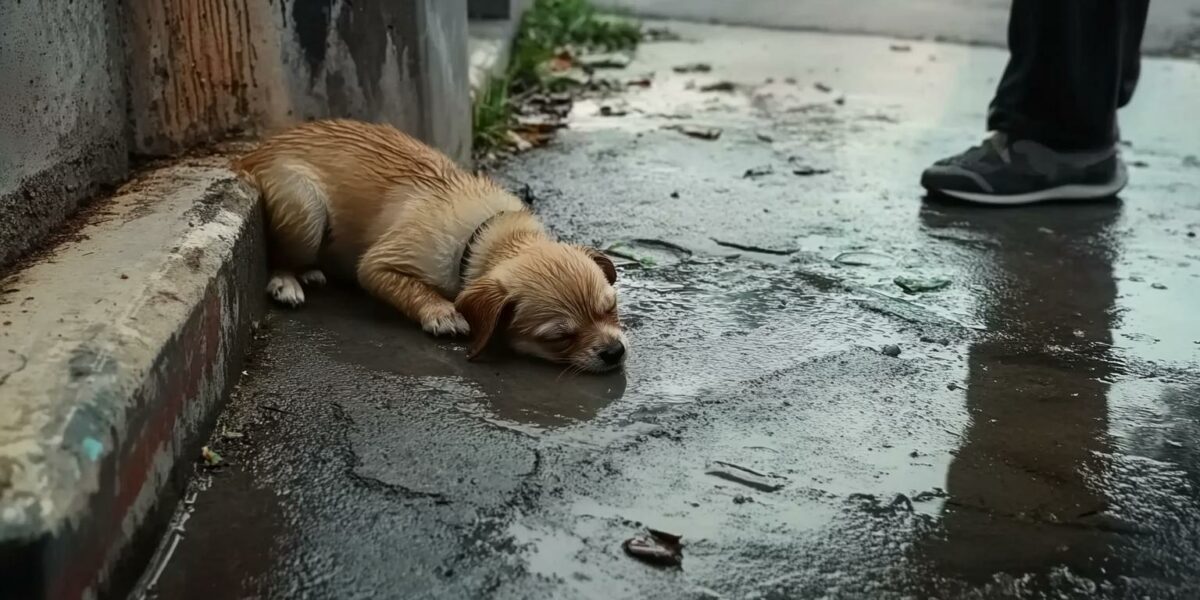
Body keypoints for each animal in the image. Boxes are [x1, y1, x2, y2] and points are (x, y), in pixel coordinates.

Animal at [234, 119, 628, 372]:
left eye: (611, 308)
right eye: (560, 337)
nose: (615, 352)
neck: (486, 235)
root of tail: (248, 155)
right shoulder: (377, 265)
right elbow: (412, 288)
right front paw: (442, 311)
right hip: (304, 209)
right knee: (282, 255)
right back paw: (287, 281)